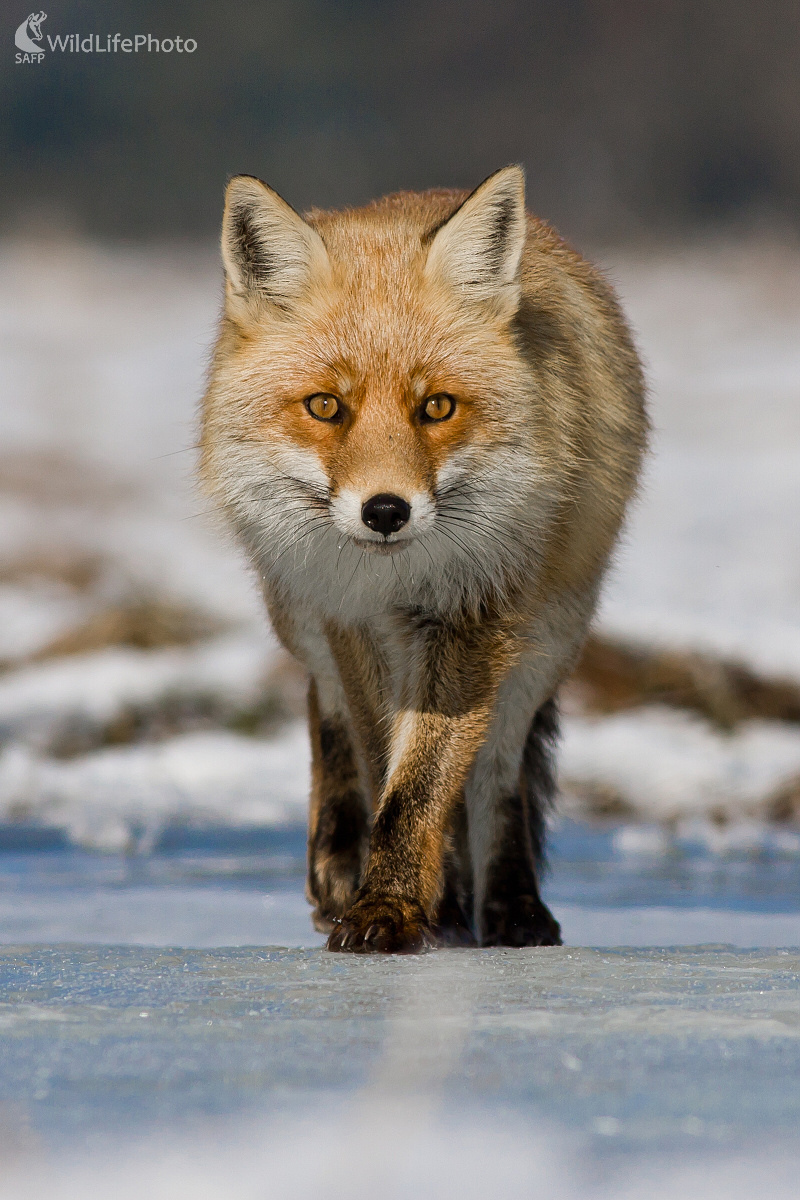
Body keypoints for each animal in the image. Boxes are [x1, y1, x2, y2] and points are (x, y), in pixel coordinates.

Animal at [201, 169, 652, 950]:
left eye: (437, 407)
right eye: (326, 406)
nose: (386, 511)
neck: (396, 582)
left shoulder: (473, 613)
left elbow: (422, 786)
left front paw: (392, 907)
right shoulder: (350, 620)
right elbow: (383, 761)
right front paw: (389, 896)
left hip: (549, 640)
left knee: (497, 771)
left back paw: (509, 907)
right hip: (301, 611)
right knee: (328, 713)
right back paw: (342, 866)